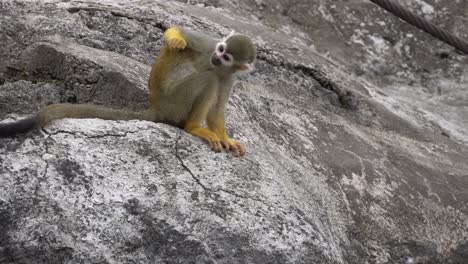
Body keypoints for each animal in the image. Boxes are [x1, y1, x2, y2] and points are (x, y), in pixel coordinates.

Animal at [0, 26, 256, 157]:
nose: (216, 57)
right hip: (175, 102)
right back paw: (193, 127)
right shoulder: (206, 45)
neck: (218, 64)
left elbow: (217, 110)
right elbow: (183, 34)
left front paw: (227, 139)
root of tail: (156, 107)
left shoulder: (230, 76)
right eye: (221, 49)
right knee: (208, 79)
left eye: (227, 57)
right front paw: (176, 39)